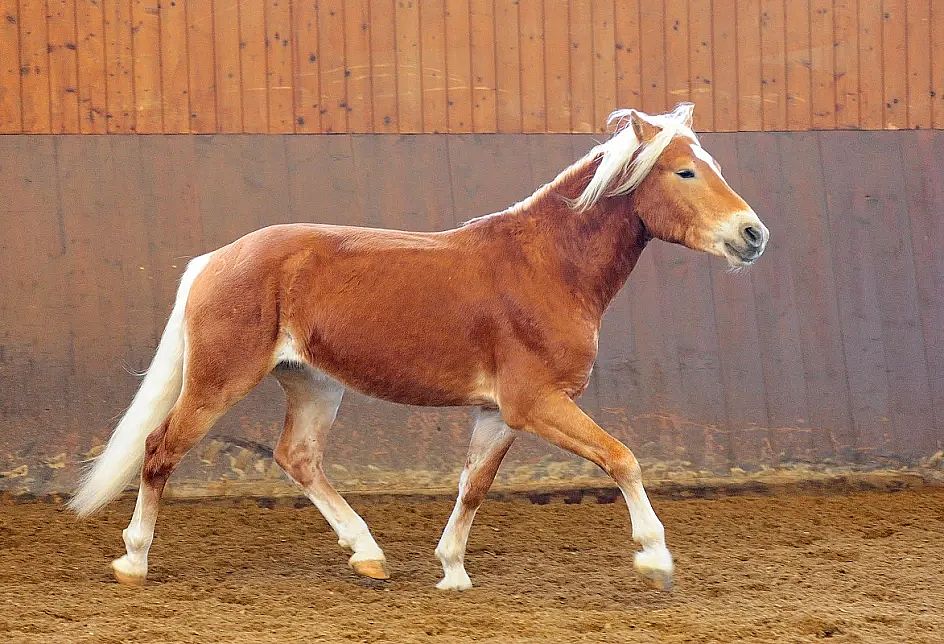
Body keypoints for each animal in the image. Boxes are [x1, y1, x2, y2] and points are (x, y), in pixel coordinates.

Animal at [69, 103, 767, 592]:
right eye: (684, 170)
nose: (752, 235)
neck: (545, 267)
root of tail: (216, 260)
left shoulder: (498, 413)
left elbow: (473, 487)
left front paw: (451, 570)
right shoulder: (536, 404)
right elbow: (621, 459)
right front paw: (655, 559)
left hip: (313, 382)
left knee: (298, 457)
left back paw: (368, 555)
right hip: (218, 380)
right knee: (159, 450)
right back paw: (133, 562)